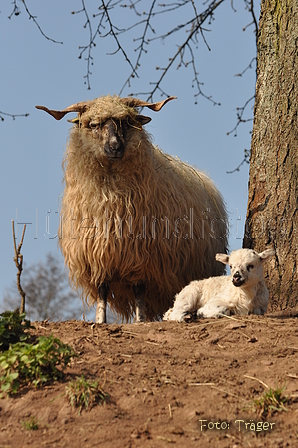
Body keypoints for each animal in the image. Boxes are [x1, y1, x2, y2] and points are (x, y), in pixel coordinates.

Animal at [37, 96, 228, 324]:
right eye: (93, 124)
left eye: (127, 122)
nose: (115, 147)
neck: (111, 197)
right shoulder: (98, 254)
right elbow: (102, 290)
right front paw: (100, 320)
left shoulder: (141, 257)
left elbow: (139, 290)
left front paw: (139, 320)